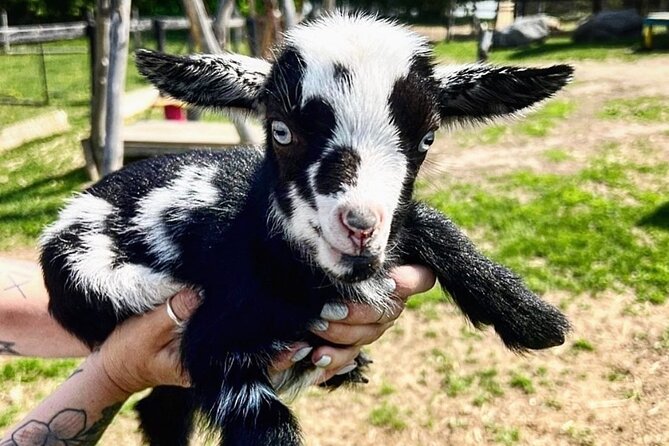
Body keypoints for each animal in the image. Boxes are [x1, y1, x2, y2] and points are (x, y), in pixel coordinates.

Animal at [40, 12, 568, 446]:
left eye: (427, 138)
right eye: (280, 130)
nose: (360, 226)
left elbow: (429, 222)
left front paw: (533, 318)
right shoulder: (214, 342)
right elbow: (267, 424)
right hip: (91, 275)